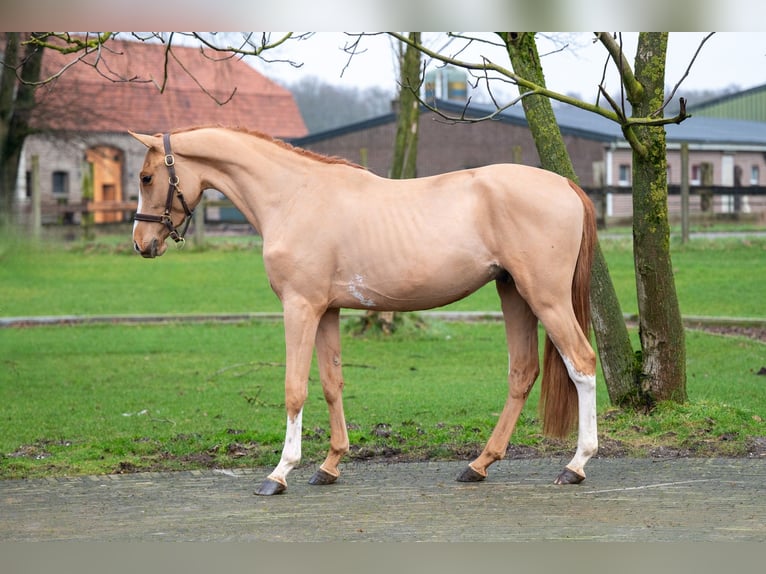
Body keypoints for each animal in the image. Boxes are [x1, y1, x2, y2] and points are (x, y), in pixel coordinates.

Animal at [130, 128, 600, 498]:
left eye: (146, 177)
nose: (140, 243)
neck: (293, 195)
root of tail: (566, 185)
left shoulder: (299, 307)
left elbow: (294, 388)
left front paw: (280, 472)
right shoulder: (327, 311)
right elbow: (331, 383)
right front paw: (329, 465)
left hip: (545, 297)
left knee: (582, 363)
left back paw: (575, 465)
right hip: (513, 293)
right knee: (522, 373)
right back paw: (479, 464)